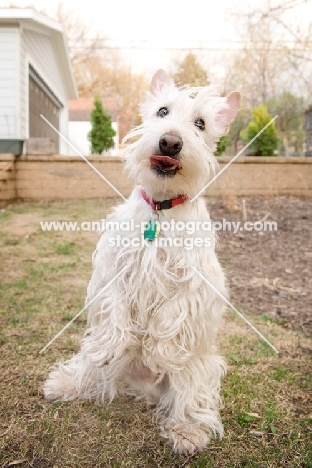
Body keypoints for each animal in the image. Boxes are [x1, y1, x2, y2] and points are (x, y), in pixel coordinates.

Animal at [43, 71, 239, 456]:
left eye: (200, 123)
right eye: (162, 111)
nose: (171, 142)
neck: (159, 210)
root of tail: (142, 388)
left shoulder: (193, 283)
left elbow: (171, 317)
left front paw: (159, 352)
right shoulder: (113, 267)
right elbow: (115, 312)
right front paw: (117, 341)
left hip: (200, 368)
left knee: (190, 398)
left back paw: (187, 431)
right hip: (98, 359)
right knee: (90, 369)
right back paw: (65, 384)